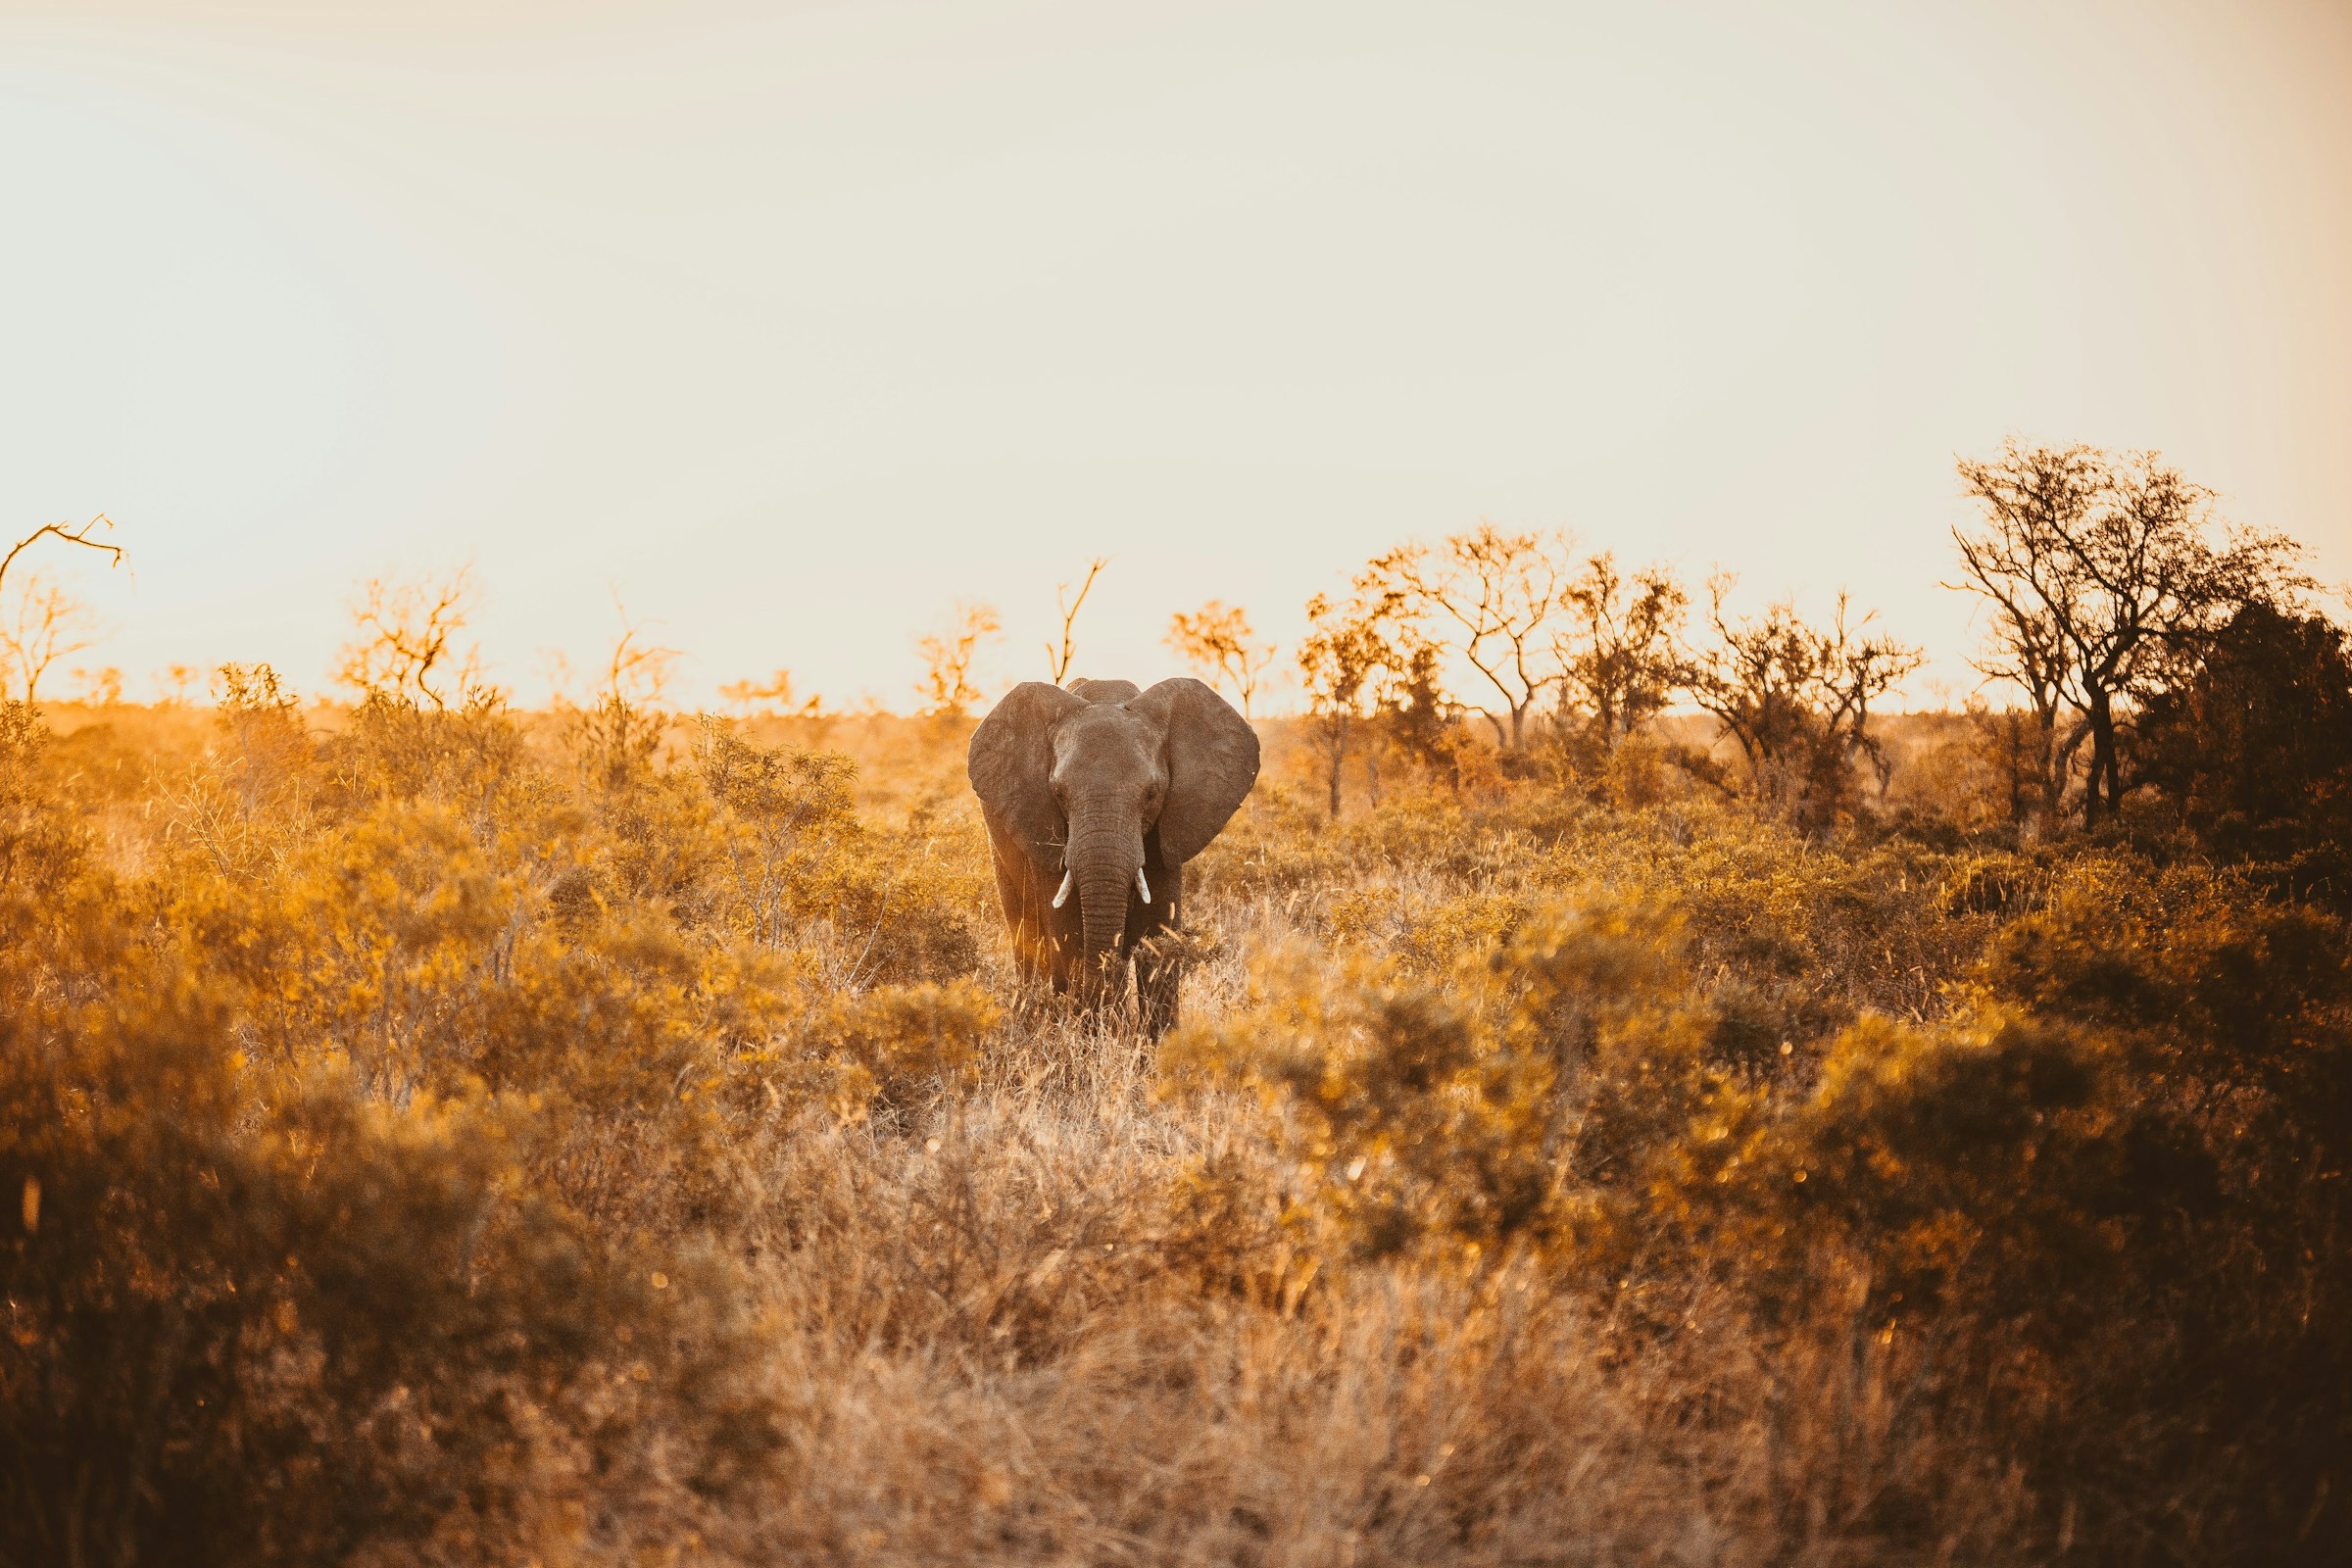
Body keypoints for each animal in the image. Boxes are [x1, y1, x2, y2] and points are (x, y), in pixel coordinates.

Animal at [967, 676, 1260, 1032]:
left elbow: (1159, 930)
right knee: (1026, 930)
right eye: (1059, 793)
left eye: (1151, 794)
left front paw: (1156, 1043)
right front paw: (1094, 1033)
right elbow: (1066, 930)